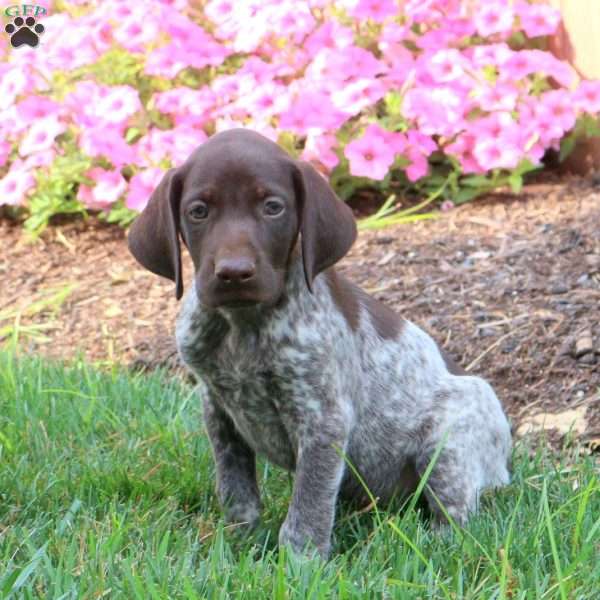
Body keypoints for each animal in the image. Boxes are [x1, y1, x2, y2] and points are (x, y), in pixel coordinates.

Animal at [126, 129, 510, 560]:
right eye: (198, 211)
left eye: (273, 207)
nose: (234, 273)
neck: (243, 327)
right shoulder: (218, 412)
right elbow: (236, 490)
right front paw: (241, 543)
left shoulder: (322, 418)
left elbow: (307, 505)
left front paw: (299, 562)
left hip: (449, 443)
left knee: (455, 517)